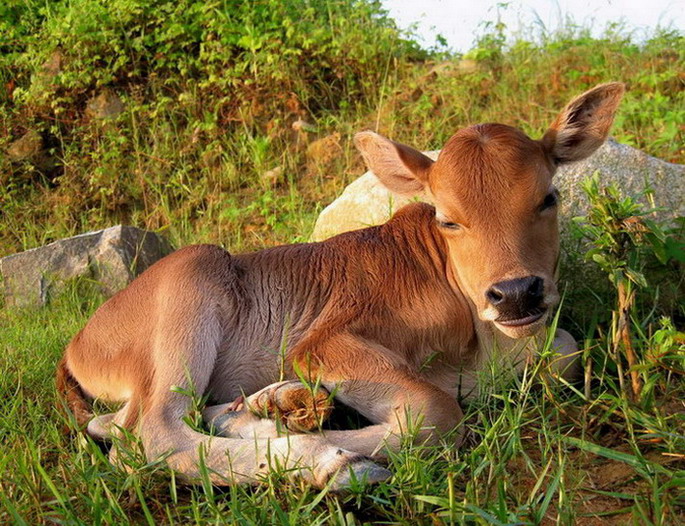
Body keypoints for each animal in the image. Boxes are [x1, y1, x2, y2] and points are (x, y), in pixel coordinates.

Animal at [57, 82, 624, 490]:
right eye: (447, 219)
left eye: (548, 197)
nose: (516, 293)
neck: (488, 345)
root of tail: (77, 340)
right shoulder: (322, 342)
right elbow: (437, 414)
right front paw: (332, 452)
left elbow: (566, 352)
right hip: (190, 283)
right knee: (148, 433)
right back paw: (321, 458)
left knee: (115, 424)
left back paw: (272, 405)